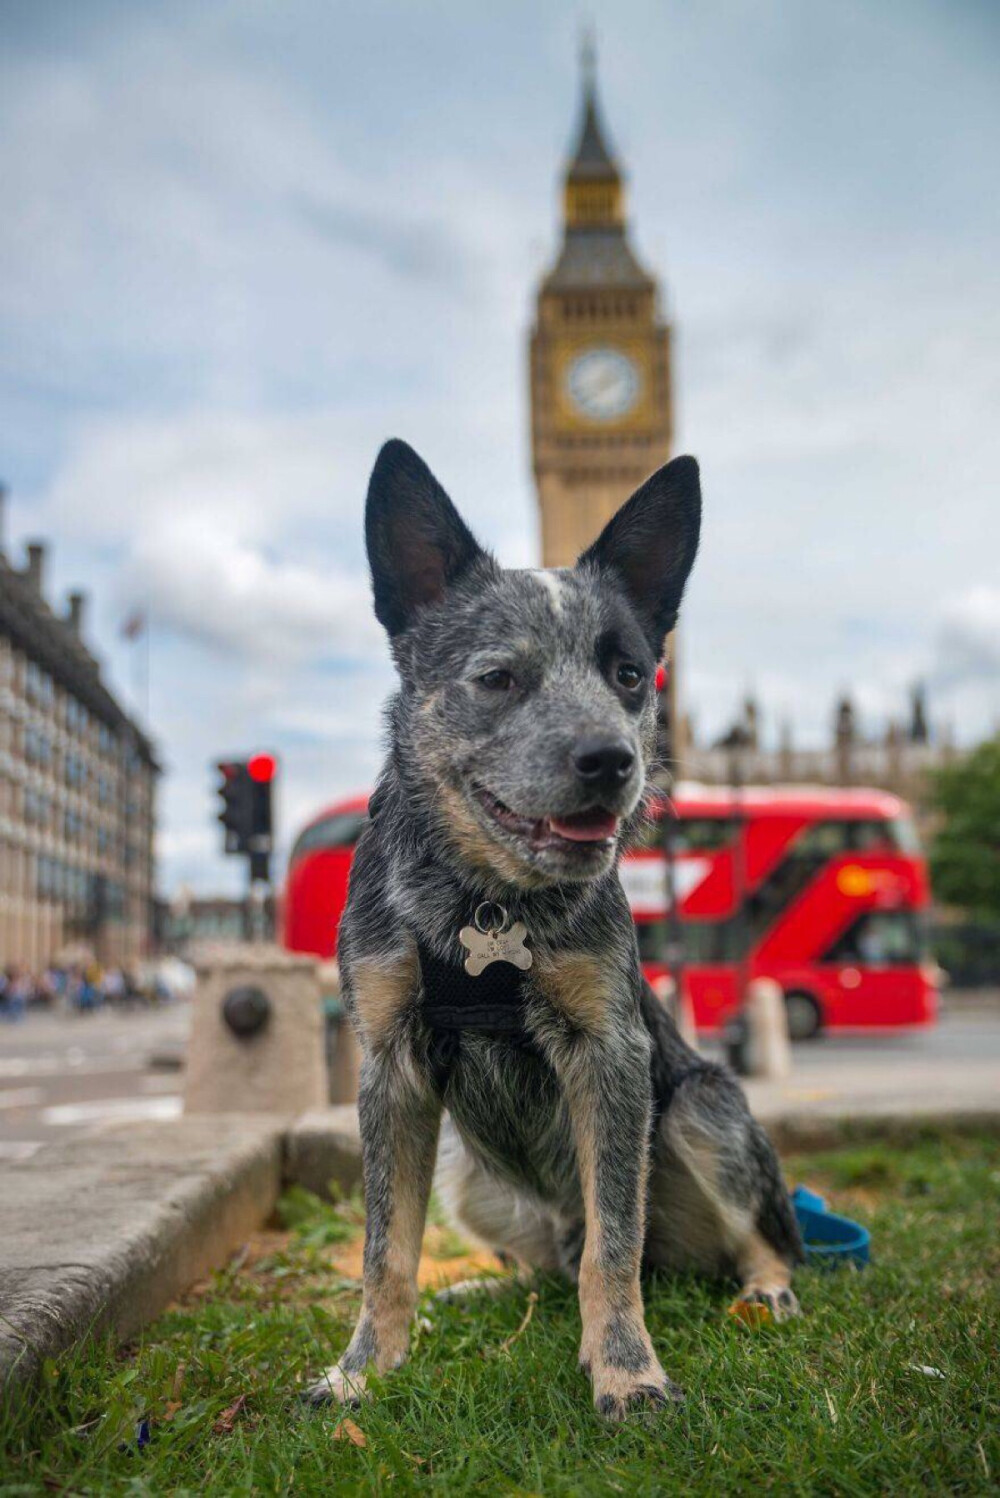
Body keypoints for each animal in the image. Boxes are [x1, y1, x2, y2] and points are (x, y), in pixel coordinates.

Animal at [306, 440, 802, 1414]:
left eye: (630, 674)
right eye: (499, 677)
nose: (612, 761)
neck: (484, 903)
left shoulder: (611, 1054)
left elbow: (614, 1249)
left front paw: (627, 1372)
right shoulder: (389, 1066)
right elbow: (386, 1251)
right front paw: (363, 1368)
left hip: (702, 1108)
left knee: (734, 1242)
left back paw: (766, 1289)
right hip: (464, 1169)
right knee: (540, 1264)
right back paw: (477, 1289)